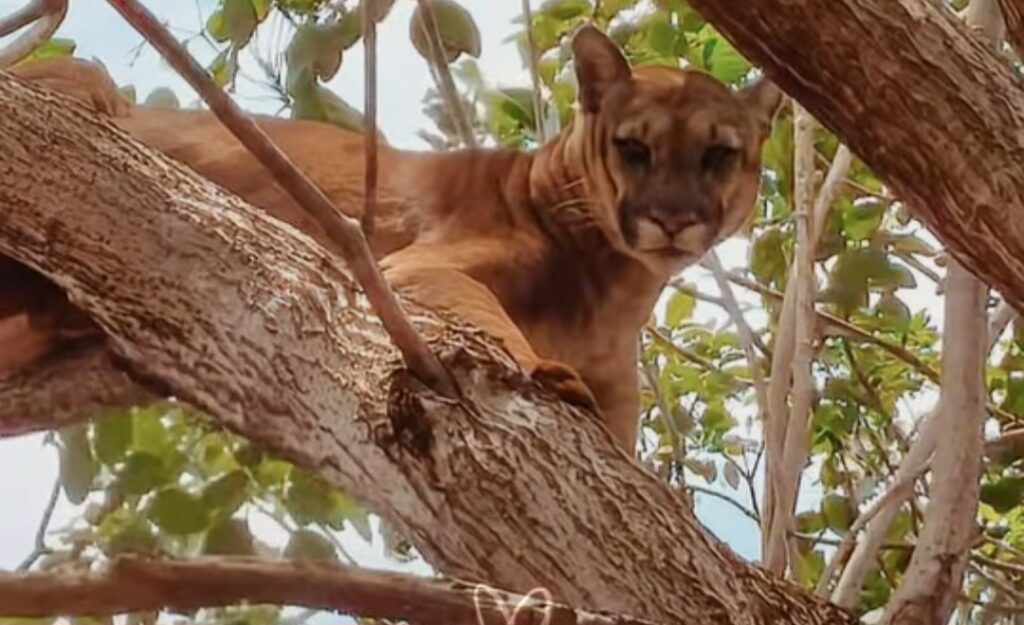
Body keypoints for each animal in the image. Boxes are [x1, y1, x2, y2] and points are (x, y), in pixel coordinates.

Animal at [1, 23, 782, 451]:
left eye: (718, 154)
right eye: (634, 148)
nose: (674, 218)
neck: (617, 288)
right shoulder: (422, 266)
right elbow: (491, 317)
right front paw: (546, 370)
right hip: (90, 80)